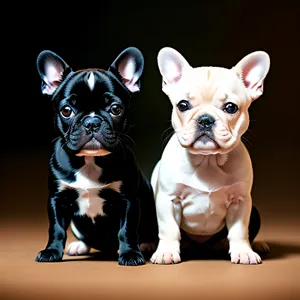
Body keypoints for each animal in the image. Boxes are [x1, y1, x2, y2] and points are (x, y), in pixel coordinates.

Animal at [34, 46, 158, 264]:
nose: (92, 122)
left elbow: (126, 230)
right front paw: (51, 251)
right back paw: (79, 246)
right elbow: (56, 229)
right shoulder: (57, 199)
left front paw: (130, 254)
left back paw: (146, 245)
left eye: (115, 108)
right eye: (67, 110)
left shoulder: (128, 200)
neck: (90, 161)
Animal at [151, 47, 270, 264]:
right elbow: (169, 228)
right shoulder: (168, 199)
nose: (205, 119)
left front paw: (244, 251)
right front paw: (166, 252)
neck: (208, 160)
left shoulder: (240, 201)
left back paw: (257, 245)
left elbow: (240, 230)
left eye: (231, 107)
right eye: (182, 105)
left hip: (255, 212)